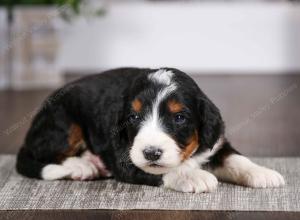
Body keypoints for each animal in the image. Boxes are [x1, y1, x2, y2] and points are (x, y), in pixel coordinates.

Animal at [15, 67, 284, 192]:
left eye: (179, 118)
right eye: (133, 117)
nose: (151, 152)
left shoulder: (215, 143)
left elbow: (236, 159)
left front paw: (263, 173)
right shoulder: (124, 158)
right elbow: (164, 170)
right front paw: (194, 176)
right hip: (64, 123)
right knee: (44, 154)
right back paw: (82, 166)